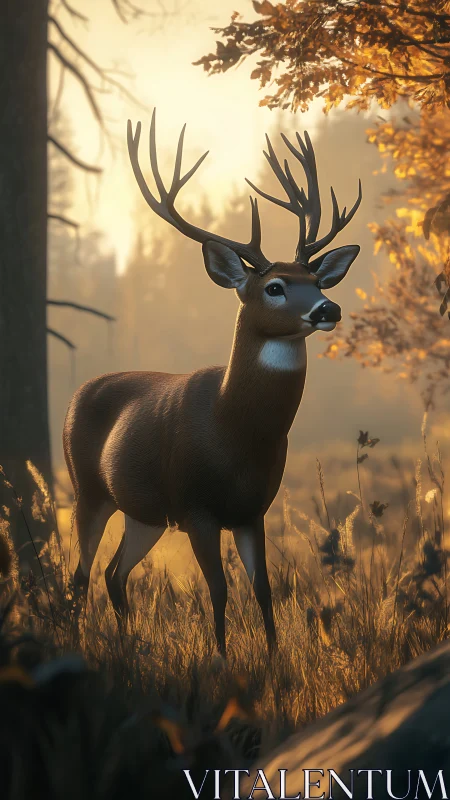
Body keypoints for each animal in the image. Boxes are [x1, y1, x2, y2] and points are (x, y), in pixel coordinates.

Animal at [63, 110, 362, 658]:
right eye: (275, 286)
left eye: (317, 281)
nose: (328, 308)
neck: (234, 432)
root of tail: (77, 395)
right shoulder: (196, 506)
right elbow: (218, 588)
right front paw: (221, 659)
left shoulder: (252, 509)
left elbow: (263, 588)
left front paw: (273, 658)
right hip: (88, 490)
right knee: (80, 576)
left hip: (145, 513)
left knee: (114, 574)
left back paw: (129, 645)